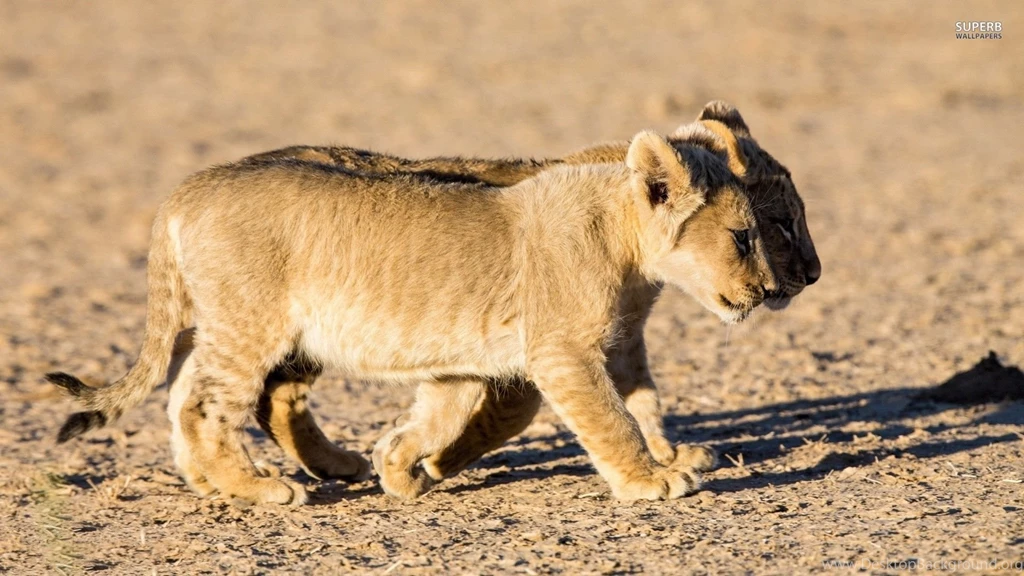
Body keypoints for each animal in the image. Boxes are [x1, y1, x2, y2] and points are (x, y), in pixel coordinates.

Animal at [49, 129, 777, 505]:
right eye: (744, 236)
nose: (767, 290)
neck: (620, 233)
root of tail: (186, 190)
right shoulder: (563, 352)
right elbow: (613, 419)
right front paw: (652, 479)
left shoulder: (465, 363)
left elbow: (435, 419)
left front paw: (399, 471)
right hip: (250, 322)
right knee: (204, 404)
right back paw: (259, 488)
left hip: (218, 322)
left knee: (181, 395)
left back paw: (213, 481)